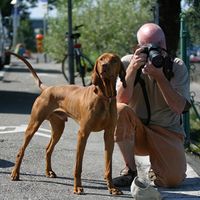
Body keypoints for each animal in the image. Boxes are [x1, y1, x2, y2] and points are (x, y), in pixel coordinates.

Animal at [9, 51, 126, 195]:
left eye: (114, 60)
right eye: (101, 59)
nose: (104, 66)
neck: (104, 97)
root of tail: (47, 89)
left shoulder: (109, 135)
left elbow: (108, 166)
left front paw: (112, 188)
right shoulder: (83, 134)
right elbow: (78, 166)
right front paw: (77, 187)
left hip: (58, 128)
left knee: (48, 149)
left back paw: (49, 171)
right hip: (34, 124)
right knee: (21, 150)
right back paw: (15, 174)